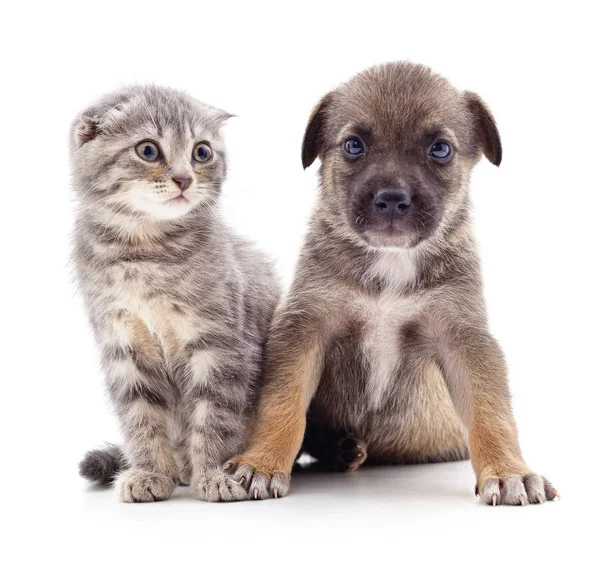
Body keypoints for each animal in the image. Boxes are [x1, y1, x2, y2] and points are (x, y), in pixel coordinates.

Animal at [69, 84, 278, 500]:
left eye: (202, 152)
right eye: (148, 150)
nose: (184, 179)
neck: (146, 249)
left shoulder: (221, 345)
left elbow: (216, 414)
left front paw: (214, 474)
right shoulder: (123, 346)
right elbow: (140, 416)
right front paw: (150, 473)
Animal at [224, 62, 556, 504]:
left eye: (440, 149)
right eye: (353, 145)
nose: (392, 199)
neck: (391, 262)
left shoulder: (464, 339)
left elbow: (492, 413)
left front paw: (508, 472)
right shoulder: (304, 329)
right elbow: (283, 404)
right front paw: (260, 462)